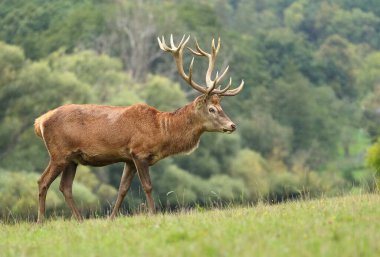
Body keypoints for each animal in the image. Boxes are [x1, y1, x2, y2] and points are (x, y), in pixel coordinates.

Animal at [35, 34, 243, 222]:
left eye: (221, 107)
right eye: (212, 109)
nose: (232, 125)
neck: (161, 131)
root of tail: (40, 121)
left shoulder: (128, 159)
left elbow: (123, 189)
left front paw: (111, 218)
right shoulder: (139, 152)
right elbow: (148, 186)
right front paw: (153, 215)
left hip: (72, 158)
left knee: (65, 187)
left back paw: (79, 220)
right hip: (58, 153)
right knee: (42, 181)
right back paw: (41, 221)